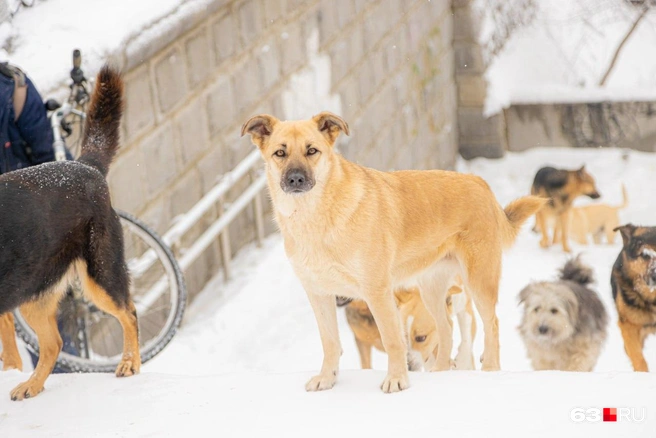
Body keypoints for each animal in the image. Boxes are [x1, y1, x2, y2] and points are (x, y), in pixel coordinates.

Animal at [0, 66, 140, 400]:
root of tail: (85, 166)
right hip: (33, 292)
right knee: (54, 344)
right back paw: (32, 384)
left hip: (100, 277)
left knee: (129, 313)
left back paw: (130, 362)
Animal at [241, 111, 544, 392]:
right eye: (280, 153)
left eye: (312, 150)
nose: (296, 179)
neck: (316, 218)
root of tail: (480, 182)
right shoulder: (319, 293)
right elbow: (330, 342)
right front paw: (327, 379)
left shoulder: (377, 292)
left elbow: (392, 340)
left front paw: (397, 379)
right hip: (431, 288)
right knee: (445, 328)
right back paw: (441, 374)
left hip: (478, 281)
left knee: (491, 324)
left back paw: (490, 369)